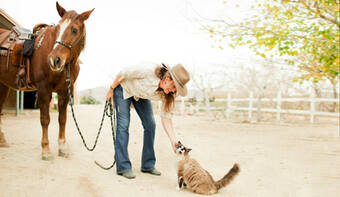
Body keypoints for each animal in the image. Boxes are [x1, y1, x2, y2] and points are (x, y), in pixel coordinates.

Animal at [0, 2, 93, 160]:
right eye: (57, 29)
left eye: (74, 30)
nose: (54, 60)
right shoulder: (44, 89)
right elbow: (45, 119)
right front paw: (46, 150)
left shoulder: (64, 92)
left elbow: (62, 119)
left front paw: (62, 148)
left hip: (3, 85)